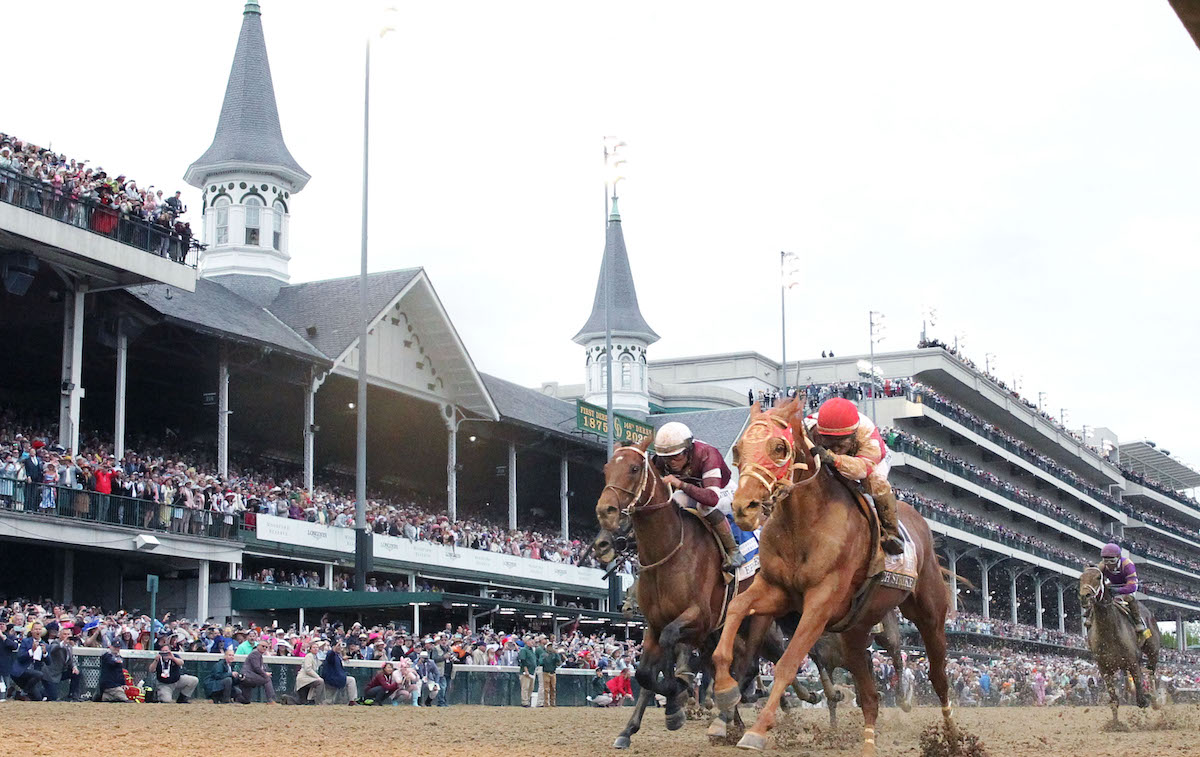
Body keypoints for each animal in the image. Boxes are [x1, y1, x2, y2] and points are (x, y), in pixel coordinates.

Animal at [592, 441, 820, 748]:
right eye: (606, 469)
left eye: (634, 468)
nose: (605, 513)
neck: (669, 552)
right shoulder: (655, 624)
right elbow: (645, 675)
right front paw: (633, 727)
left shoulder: (698, 619)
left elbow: (674, 652)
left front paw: (677, 698)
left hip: (759, 623)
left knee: (751, 666)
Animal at [710, 400, 955, 753]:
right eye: (738, 450)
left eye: (780, 447)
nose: (744, 507)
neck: (803, 524)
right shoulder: (776, 590)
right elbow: (736, 609)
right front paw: (725, 690)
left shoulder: (821, 603)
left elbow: (788, 662)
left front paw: (757, 730)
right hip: (856, 630)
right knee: (870, 696)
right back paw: (869, 742)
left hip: (929, 615)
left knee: (938, 677)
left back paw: (952, 737)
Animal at [1080, 568, 1161, 729]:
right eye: (1081, 578)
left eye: (1098, 577)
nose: (1084, 596)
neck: (1109, 632)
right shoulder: (1104, 668)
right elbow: (1114, 700)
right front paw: (1115, 724)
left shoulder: (1133, 662)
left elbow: (1141, 699)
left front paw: (1146, 703)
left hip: (1153, 650)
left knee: (1151, 671)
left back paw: (1155, 700)